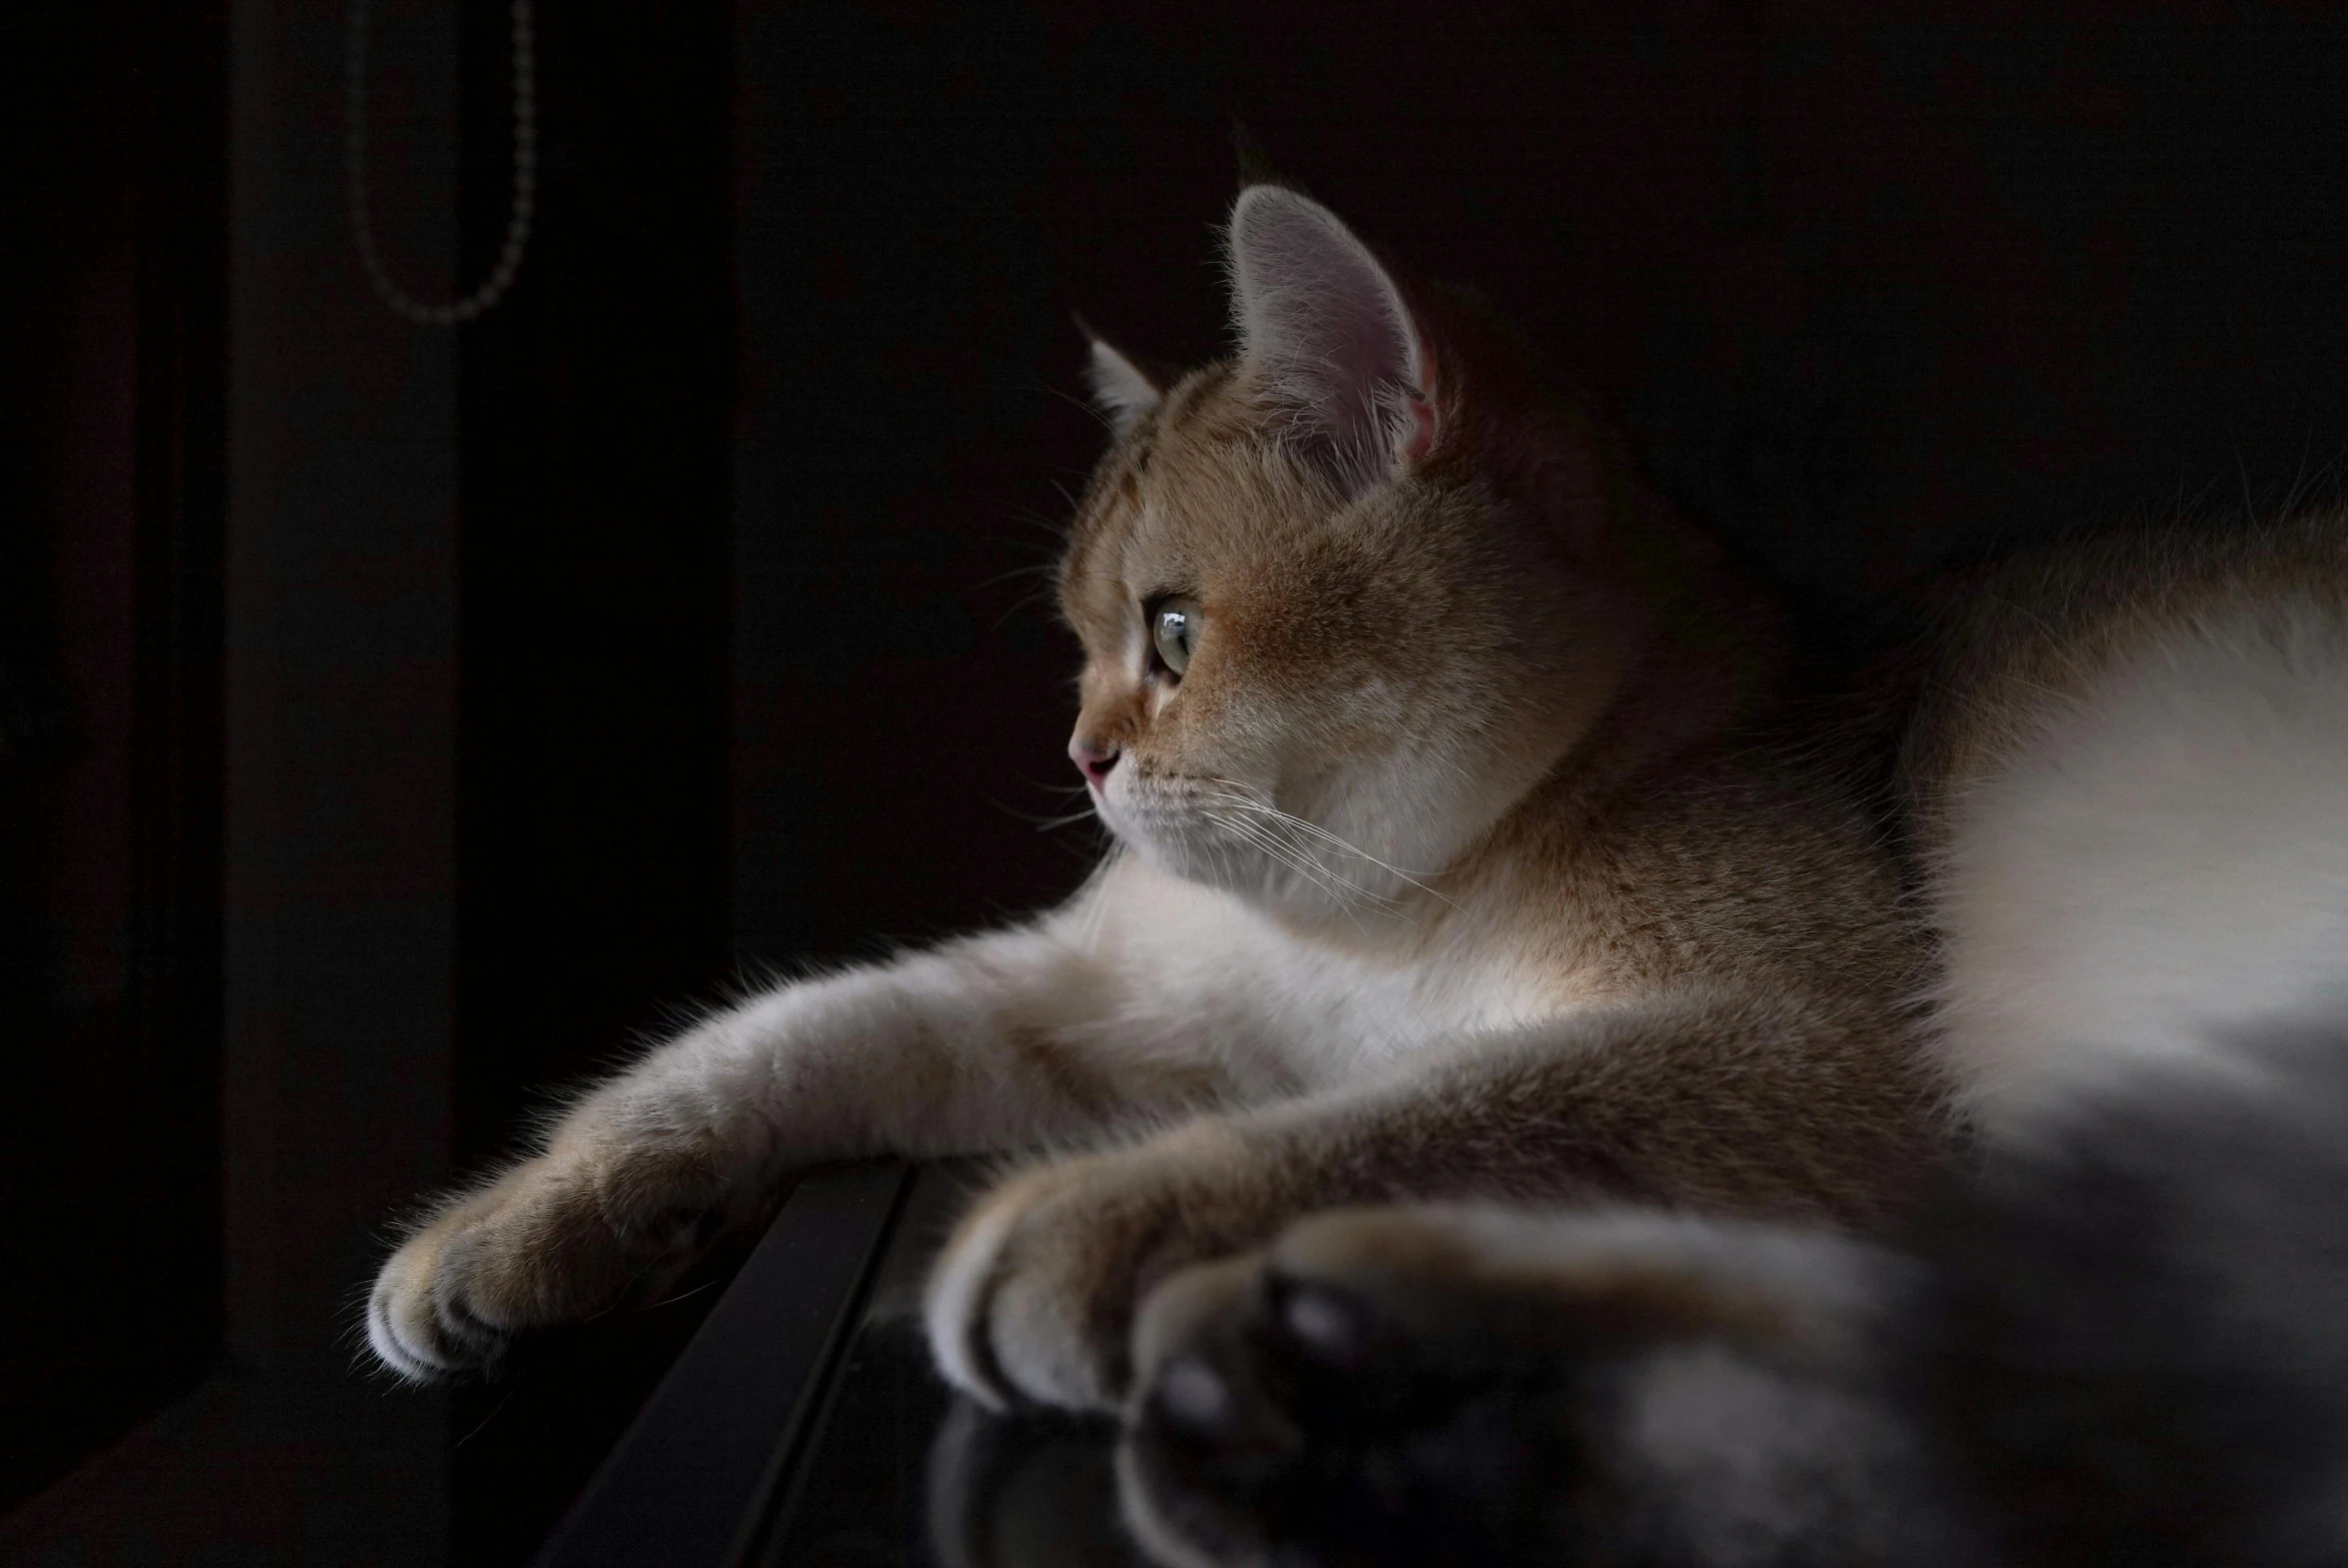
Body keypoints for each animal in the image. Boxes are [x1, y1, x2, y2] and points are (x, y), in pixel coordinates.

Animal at [361, 177, 2329, 1464]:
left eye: (1171, 633)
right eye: (1080, 640)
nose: (1080, 751)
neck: (1381, 924)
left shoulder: (1816, 1046)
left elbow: (1453, 1105)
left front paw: (1123, 1210)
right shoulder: (1080, 1006)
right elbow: (777, 1040)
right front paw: (522, 1226)